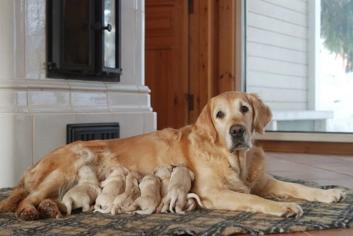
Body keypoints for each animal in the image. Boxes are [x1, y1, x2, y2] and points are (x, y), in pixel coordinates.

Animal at [0, 91, 344, 220]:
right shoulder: (215, 192)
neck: (233, 159)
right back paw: (32, 211)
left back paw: (49, 208)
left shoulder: (261, 180)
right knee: (24, 199)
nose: (237, 131)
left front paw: (330, 194)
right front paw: (283, 207)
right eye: (220, 115)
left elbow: (297, 186)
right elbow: (255, 199)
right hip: (71, 162)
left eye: (244, 109)